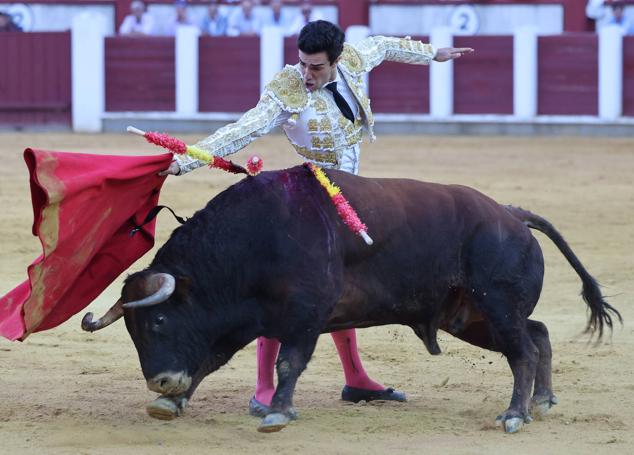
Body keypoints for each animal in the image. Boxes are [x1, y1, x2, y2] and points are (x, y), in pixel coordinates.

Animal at [79, 167, 616, 434]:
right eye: (133, 332)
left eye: (160, 321)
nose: (159, 380)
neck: (254, 237)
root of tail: (510, 214)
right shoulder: (241, 320)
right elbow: (209, 359)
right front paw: (173, 401)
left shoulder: (305, 314)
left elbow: (289, 363)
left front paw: (278, 413)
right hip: (471, 317)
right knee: (537, 335)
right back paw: (542, 401)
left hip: (497, 307)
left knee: (522, 350)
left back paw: (515, 414)